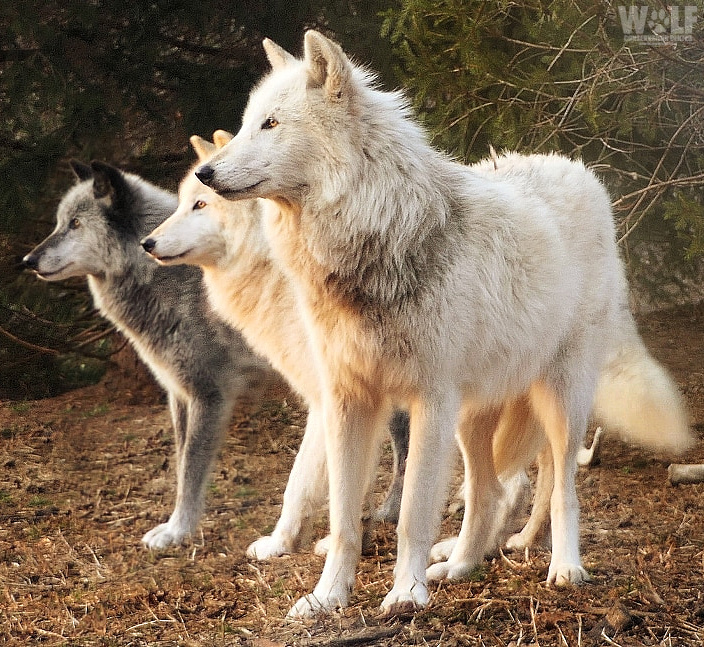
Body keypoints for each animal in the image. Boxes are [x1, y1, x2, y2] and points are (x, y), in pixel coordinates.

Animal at [20, 162, 274, 552]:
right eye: (59, 223)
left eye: (75, 224)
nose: (27, 260)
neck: (160, 275)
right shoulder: (179, 395)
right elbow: (182, 461)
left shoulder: (208, 395)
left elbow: (190, 469)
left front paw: (177, 531)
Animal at [195, 31, 692, 616]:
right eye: (247, 123)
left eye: (270, 124)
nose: (204, 173)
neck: (374, 241)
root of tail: (578, 170)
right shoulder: (346, 402)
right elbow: (342, 519)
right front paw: (326, 598)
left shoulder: (427, 401)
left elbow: (412, 514)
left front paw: (406, 594)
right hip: (473, 417)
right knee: (489, 491)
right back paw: (460, 566)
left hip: (558, 400)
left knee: (562, 486)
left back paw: (564, 568)